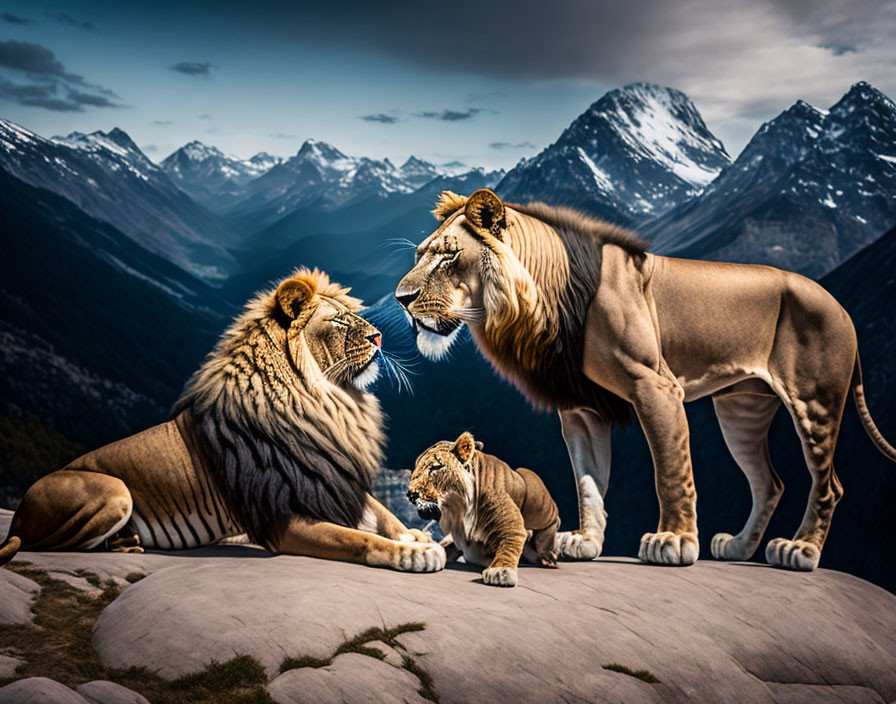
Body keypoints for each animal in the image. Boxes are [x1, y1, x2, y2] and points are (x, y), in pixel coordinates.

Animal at [0, 266, 446, 576]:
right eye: (337, 321)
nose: (379, 338)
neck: (328, 403)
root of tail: (18, 514)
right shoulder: (282, 518)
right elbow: (357, 539)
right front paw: (413, 553)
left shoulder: (332, 481)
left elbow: (382, 514)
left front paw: (415, 535)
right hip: (114, 492)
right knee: (51, 545)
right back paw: (123, 543)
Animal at [398, 188, 896, 572]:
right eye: (420, 254)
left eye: (447, 255)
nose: (401, 299)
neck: (541, 302)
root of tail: (840, 306)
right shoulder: (580, 409)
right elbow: (588, 482)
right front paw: (585, 542)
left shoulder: (656, 387)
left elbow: (671, 471)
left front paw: (673, 541)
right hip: (741, 410)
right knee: (769, 482)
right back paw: (738, 547)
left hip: (814, 401)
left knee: (828, 484)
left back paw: (801, 549)